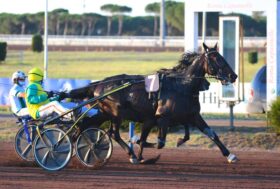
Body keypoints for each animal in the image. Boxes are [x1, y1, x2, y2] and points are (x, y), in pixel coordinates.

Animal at [67, 43, 238, 165]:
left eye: (221, 57)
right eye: (217, 59)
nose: (233, 75)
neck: (182, 86)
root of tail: (99, 84)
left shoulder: (193, 116)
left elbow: (211, 133)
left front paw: (230, 155)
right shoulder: (162, 118)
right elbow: (159, 143)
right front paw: (136, 143)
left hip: (104, 113)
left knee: (84, 124)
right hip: (115, 114)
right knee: (113, 133)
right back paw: (130, 155)